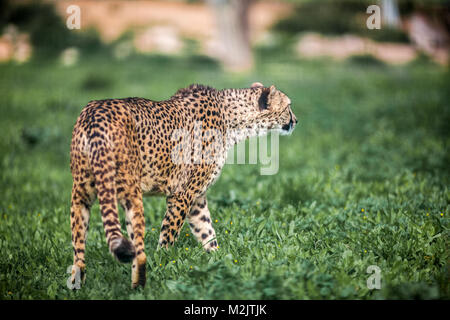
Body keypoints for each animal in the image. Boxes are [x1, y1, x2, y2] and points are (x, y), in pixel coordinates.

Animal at [68, 82, 298, 288]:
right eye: (288, 106)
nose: (295, 120)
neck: (231, 118)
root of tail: (95, 112)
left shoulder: (197, 197)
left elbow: (206, 230)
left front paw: (220, 259)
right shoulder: (182, 194)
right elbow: (169, 233)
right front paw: (163, 262)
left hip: (81, 193)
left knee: (78, 247)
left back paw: (78, 284)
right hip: (130, 194)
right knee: (137, 249)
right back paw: (140, 285)